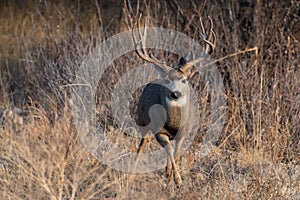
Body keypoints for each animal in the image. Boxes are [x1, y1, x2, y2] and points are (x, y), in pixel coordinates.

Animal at [131, 16, 216, 188]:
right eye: (167, 80)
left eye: (184, 80)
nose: (175, 93)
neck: (174, 124)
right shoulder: (159, 131)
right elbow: (169, 151)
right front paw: (177, 180)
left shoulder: (185, 131)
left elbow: (176, 154)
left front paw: (174, 179)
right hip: (142, 122)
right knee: (142, 145)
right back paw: (132, 175)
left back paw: (167, 173)